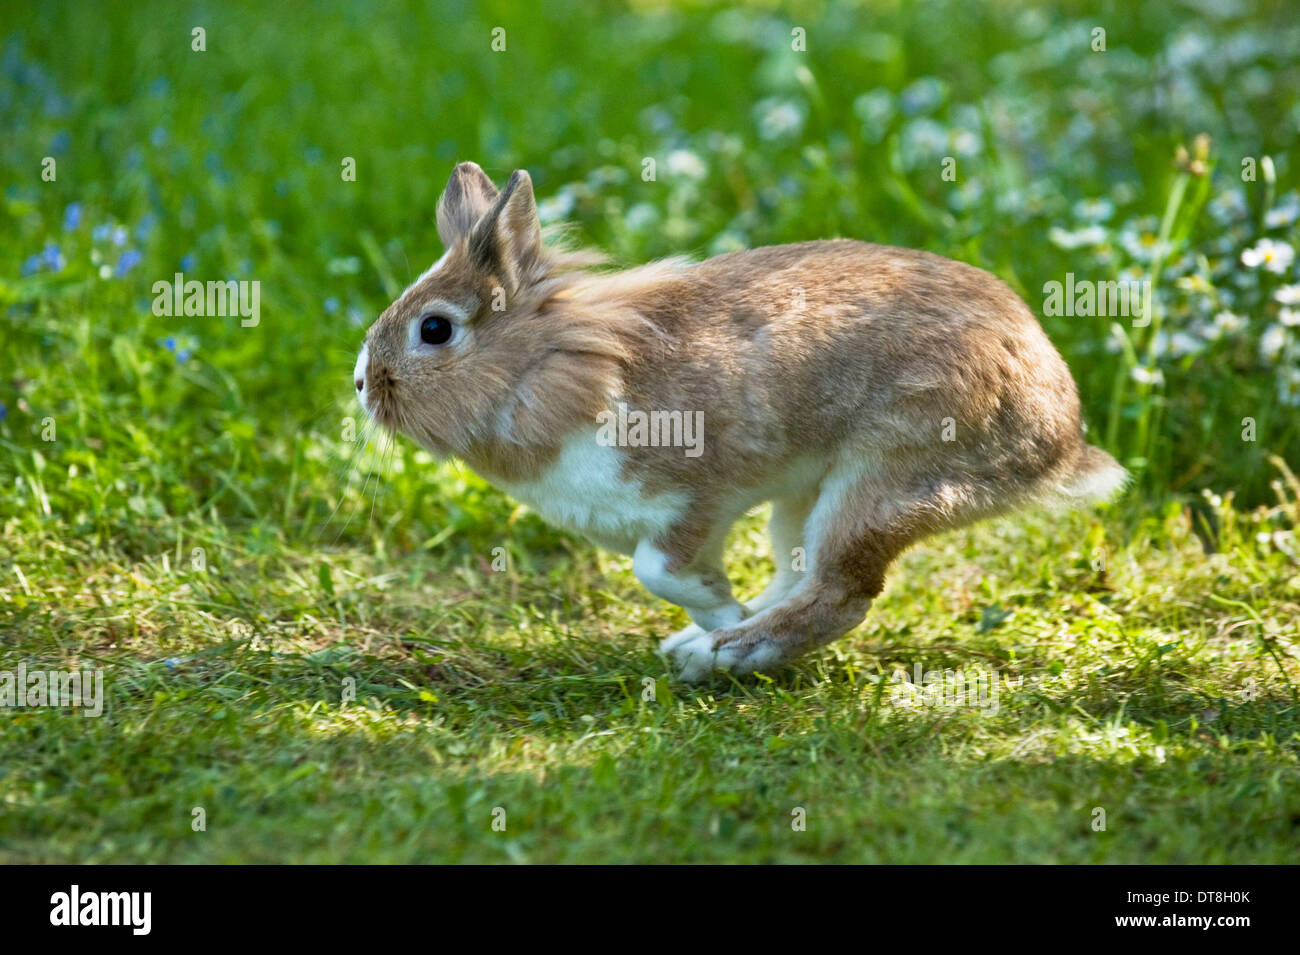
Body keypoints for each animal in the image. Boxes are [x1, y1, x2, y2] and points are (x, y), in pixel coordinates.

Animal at [354, 161, 1127, 681]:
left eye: (434, 329)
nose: (363, 384)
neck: (551, 366)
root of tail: (1058, 442)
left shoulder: (692, 498)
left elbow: (658, 568)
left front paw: (718, 616)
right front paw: (713, 618)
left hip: (881, 483)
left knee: (841, 593)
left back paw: (719, 653)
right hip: (807, 498)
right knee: (801, 573)